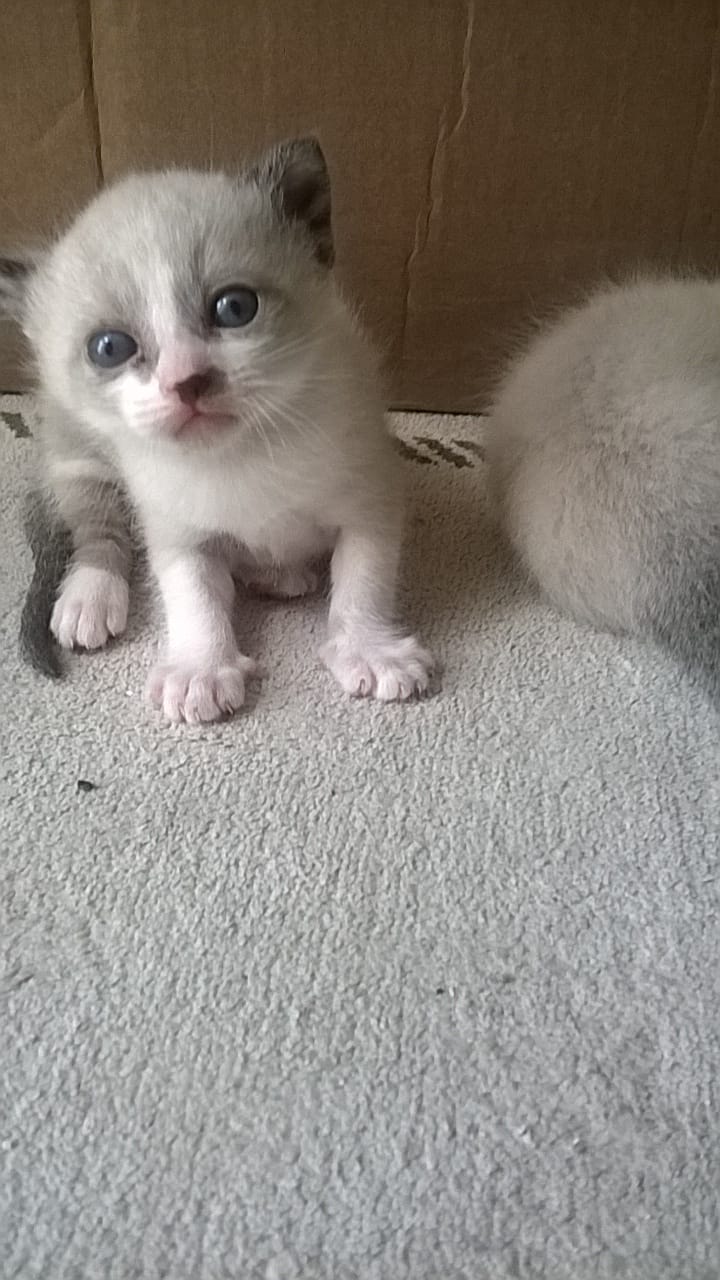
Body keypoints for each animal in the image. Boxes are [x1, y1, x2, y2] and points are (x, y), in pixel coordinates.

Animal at [0, 142, 430, 721]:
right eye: (109, 348)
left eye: (234, 307)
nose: (186, 381)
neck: (240, 453)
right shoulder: (175, 526)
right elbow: (193, 595)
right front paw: (199, 669)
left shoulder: (370, 494)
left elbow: (364, 580)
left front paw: (370, 648)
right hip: (76, 451)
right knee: (97, 527)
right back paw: (90, 594)